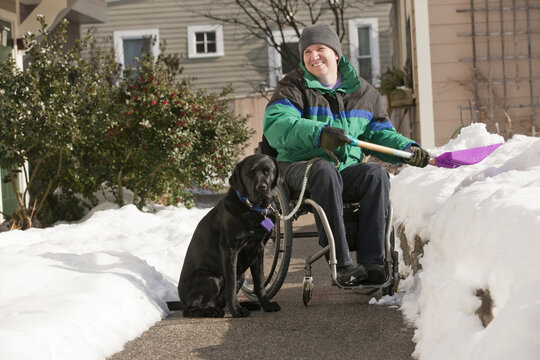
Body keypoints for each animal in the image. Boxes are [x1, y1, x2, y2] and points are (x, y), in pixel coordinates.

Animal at [178, 153, 282, 316]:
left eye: (267, 171)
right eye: (249, 173)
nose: (261, 188)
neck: (252, 209)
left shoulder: (259, 249)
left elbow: (259, 283)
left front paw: (267, 305)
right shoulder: (230, 250)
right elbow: (231, 285)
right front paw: (237, 311)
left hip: (241, 275)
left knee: (222, 302)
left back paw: (248, 304)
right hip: (210, 278)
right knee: (190, 310)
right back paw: (214, 311)